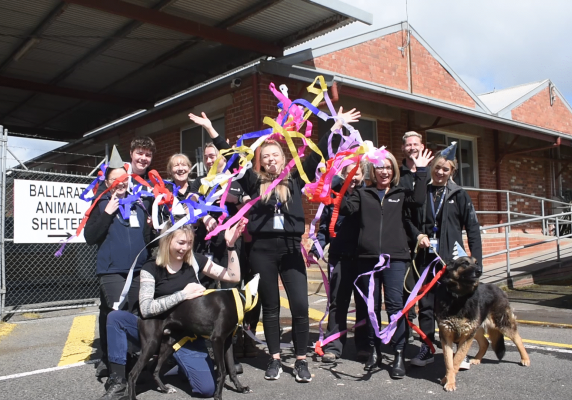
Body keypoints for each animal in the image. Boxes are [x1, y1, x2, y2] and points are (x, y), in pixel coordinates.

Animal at [127, 276, 260, 400]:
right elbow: (222, 371)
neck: (238, 301)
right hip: (152, 343)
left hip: (169, 344)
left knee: (154, 370)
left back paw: (165, 389)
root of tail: (143, 312)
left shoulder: (227, 342)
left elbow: (231, 369)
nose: (250, 326)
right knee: (133, 374)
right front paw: (218, 395)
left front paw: (241, 388)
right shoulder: (217, 340)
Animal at [436, 256, 528, 390]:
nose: (480, 271)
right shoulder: (446, 337)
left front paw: (450, 382)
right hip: (476, 329)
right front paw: (448, 379)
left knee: (517, 338)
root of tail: (498, 288)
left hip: (501, 323)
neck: (458, 297)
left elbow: (456, 360)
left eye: (476, 263)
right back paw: (477, 359)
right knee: (485, 343)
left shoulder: (466, 337)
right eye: (464, 263)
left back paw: (525, 359)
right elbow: (449, 362)